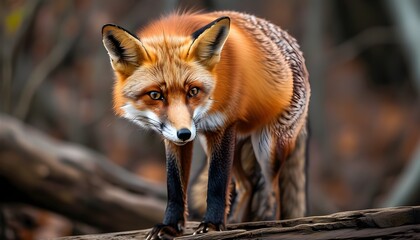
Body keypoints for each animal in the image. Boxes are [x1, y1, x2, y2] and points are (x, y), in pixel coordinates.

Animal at [102, 10, 308, 238]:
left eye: (193, 91)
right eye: (155, 95)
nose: (184, 134)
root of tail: (292, 41)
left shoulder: (222, 126)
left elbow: (216, 183)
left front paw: (212, 225)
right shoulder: (174, 137)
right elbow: (174, 186)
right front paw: (170, 226)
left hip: (267, 148)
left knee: (272, 190)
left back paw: (271, 222)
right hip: (224, 145)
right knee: (247, 185)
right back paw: (237, 222)